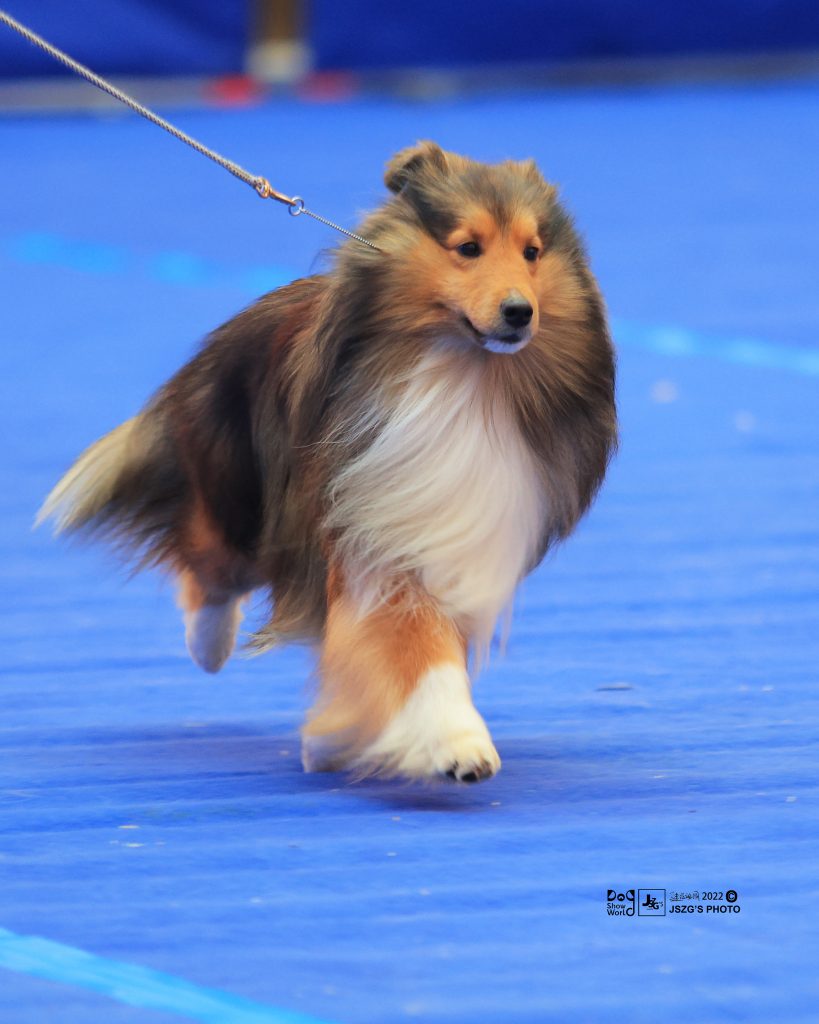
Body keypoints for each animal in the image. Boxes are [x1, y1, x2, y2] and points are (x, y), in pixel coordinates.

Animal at [39, 142, 617, 783]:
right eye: (468, 247)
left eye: (533, 252)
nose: (520, 312)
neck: (463, 380)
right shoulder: (375, 536)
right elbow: (414, 641)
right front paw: (458, 742)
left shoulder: (456, 542)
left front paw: (360, 733)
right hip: (235, 488)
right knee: (210, 561)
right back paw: (209, 645)